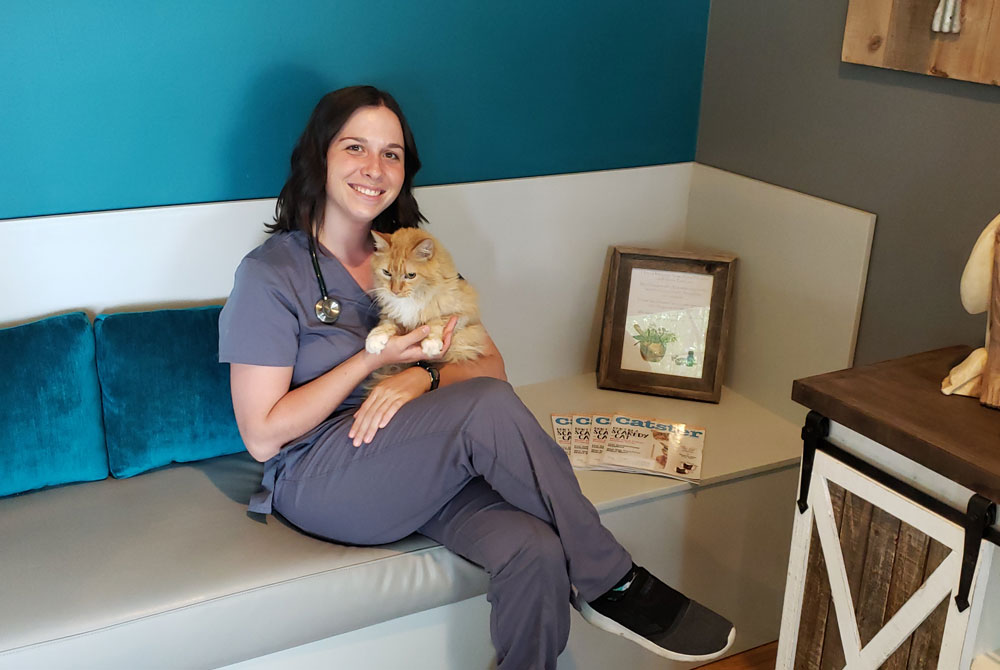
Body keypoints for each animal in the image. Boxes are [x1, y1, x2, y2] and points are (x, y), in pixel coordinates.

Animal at [368, 230, 488, 368]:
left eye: (411, 275)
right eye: (386, 273)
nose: (395, 291)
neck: (412, 298)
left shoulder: (460, 312)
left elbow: (434, 322)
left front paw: (431, 343)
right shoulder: (392, 314)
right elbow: (386, 323)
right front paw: (374, 340)